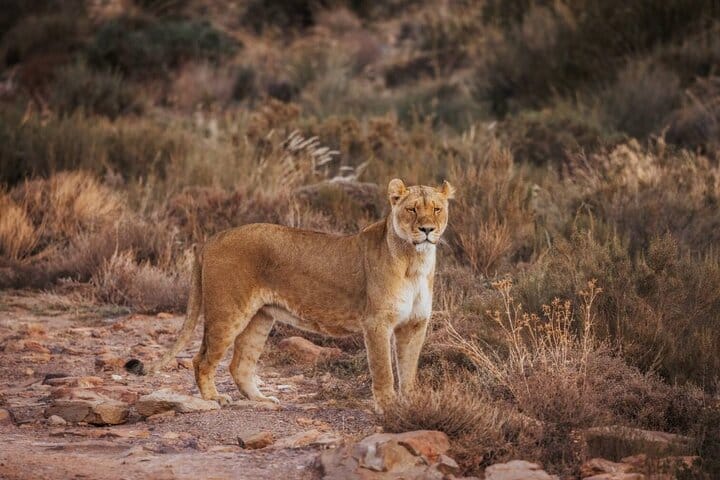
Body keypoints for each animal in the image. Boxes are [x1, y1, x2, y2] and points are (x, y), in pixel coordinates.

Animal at [127, 178, 455, 412]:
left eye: (437, 209)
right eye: (412, 209)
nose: (427, 229)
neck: (415, 261)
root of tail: (213, 238)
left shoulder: (415, 325)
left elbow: (409, 370)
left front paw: (411, 405)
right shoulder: (377, 323)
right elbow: (384, 371)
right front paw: (388, 410)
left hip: (260, 317)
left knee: (239, 365)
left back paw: (262, 400)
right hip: (228, 312)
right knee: (202, 358)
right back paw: (214, 399)